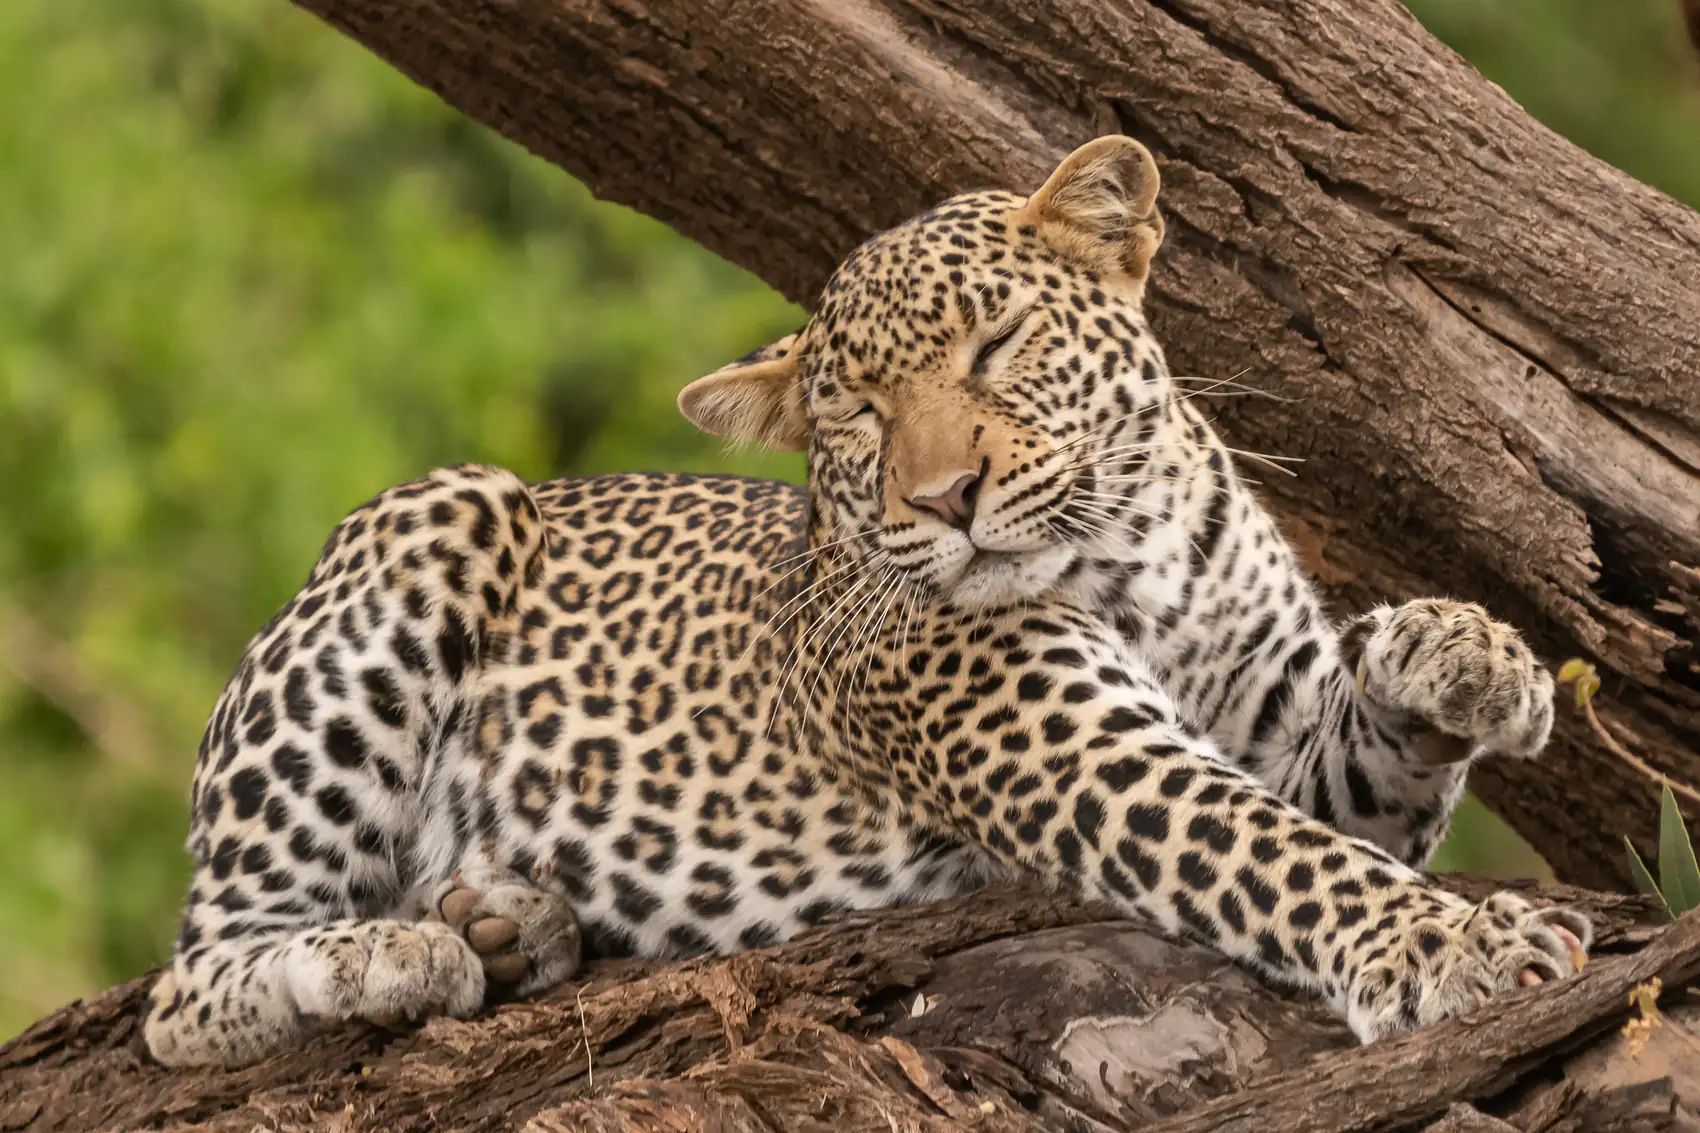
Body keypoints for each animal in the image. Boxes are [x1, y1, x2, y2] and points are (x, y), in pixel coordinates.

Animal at [143, 137, 1589, 1069]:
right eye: (856, 411)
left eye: (997, 343)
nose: (947, 497)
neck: (1133, 550)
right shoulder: (1080, 751)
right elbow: (1272, 853)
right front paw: (1451, 947)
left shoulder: (1280, 725)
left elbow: (1356, 773)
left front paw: (1462, 655)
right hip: (443, 511)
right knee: (189, 982)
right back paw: (392, 956)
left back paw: (506, 921)